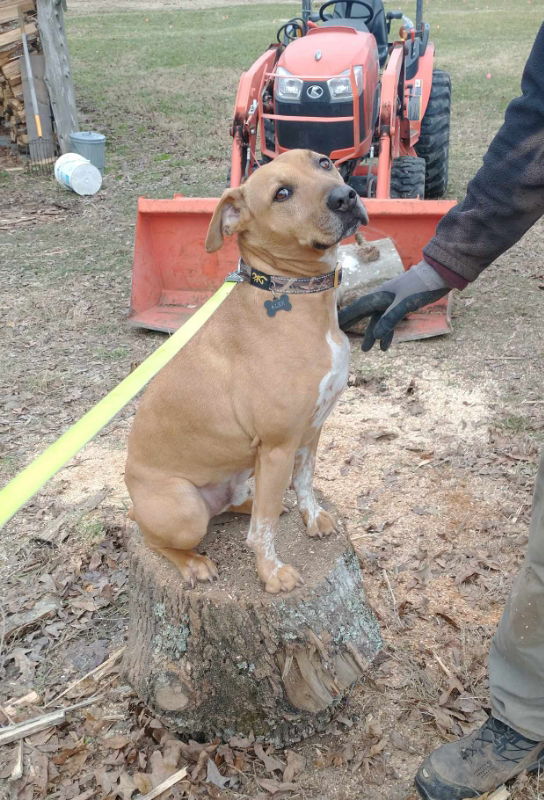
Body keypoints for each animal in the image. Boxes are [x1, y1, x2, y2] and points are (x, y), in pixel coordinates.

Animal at [125, 148, 368, 592]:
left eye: (324, 162)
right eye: (281, 193)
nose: (345, 197)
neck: (291, 293)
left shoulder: (312, 430)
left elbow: (304, 483)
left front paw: (311, 519)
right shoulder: (278, 446)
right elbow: (264, 529)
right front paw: (271, 574)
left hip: (238, 473)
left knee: (237, 506)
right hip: (185, 511)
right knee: (157, 538)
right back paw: (193, 563)